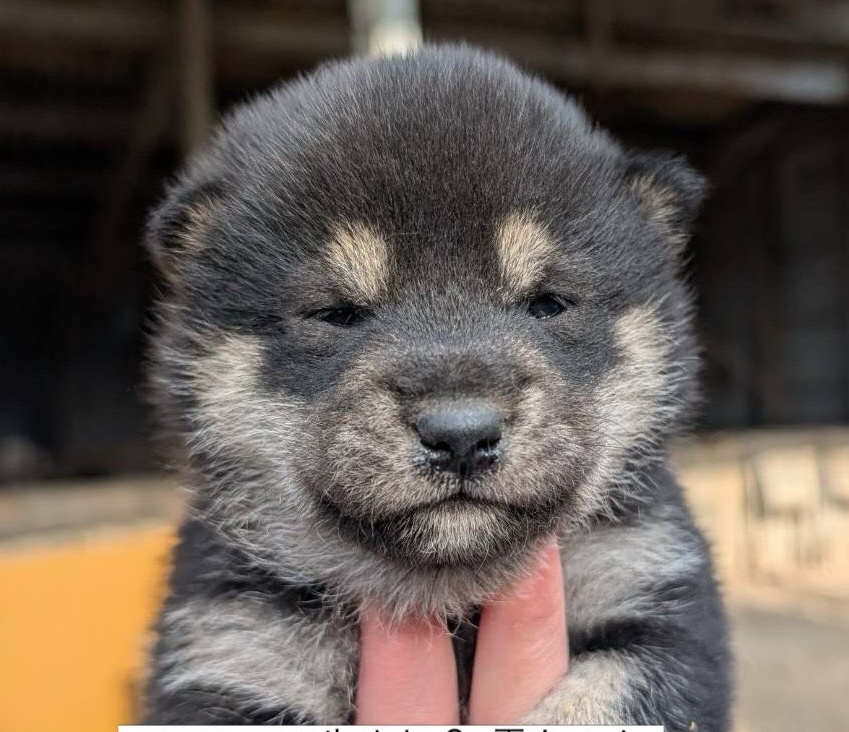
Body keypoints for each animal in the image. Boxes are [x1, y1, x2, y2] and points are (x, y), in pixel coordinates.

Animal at [142, 45, 730, 728]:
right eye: (336, 313)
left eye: (548, 303)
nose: (461, 436)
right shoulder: (235, 643)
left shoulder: (650, 581)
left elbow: (596, 701)